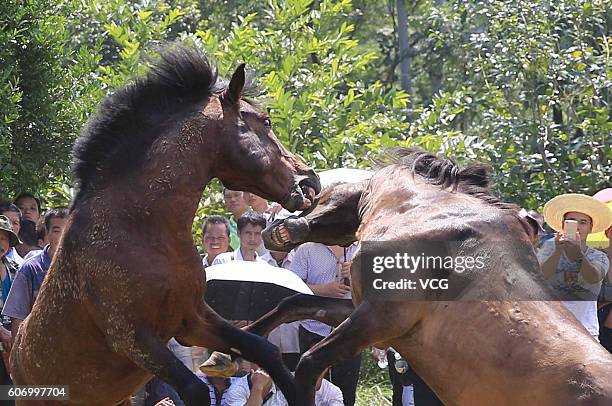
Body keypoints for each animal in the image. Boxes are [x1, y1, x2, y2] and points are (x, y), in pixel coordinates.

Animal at [10, 46, 320, 404]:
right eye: (265, 121)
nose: (310, 181)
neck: (142, 234)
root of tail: (15, 360)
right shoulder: (132, 337)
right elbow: (195, 388)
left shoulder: (192, 319)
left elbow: (263, 349)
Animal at [249, 150, 612, 406]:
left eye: (324, 195)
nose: (274, 225)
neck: (426, 215)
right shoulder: (371, 317)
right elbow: (294, 303)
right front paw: (241, 341)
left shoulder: (379, 317)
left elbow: (309, 364)